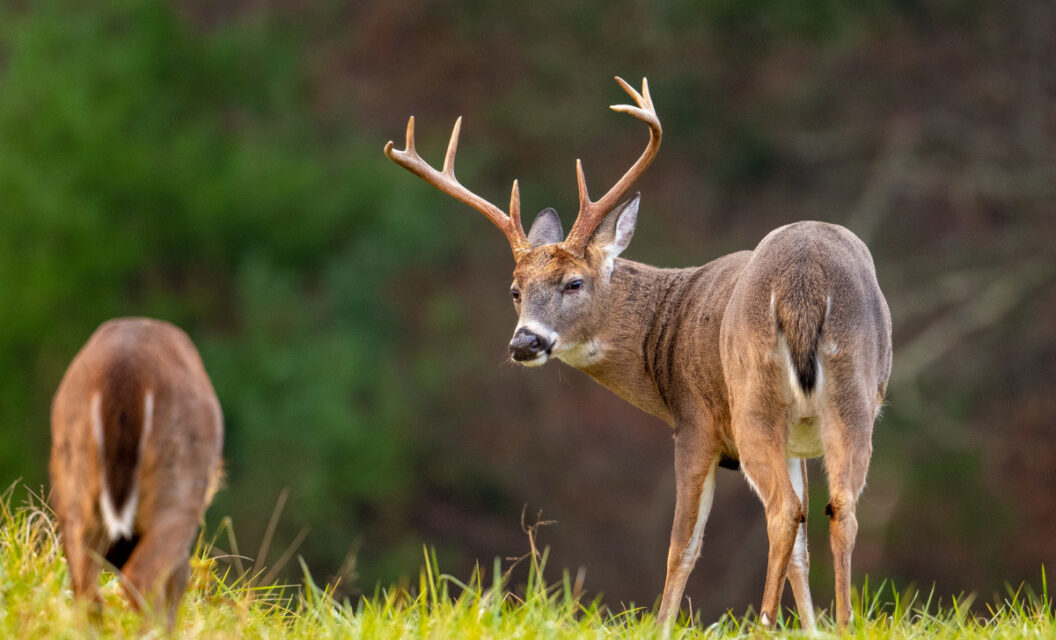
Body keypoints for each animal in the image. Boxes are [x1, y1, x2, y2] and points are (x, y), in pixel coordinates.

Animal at [384, 76, 887, 633]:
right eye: (515, 290)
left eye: (573, 282)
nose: (524, 343)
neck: (666, 331)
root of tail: (804, 279)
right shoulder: (798, 440)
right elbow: (800, 553)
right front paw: (814, 628)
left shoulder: (695, 423)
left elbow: (681, 545)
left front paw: (663, 625)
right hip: (854, 395)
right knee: (839, 509)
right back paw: (844, 623)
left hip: (753, 401)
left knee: (783, 512)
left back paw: (761, 623)